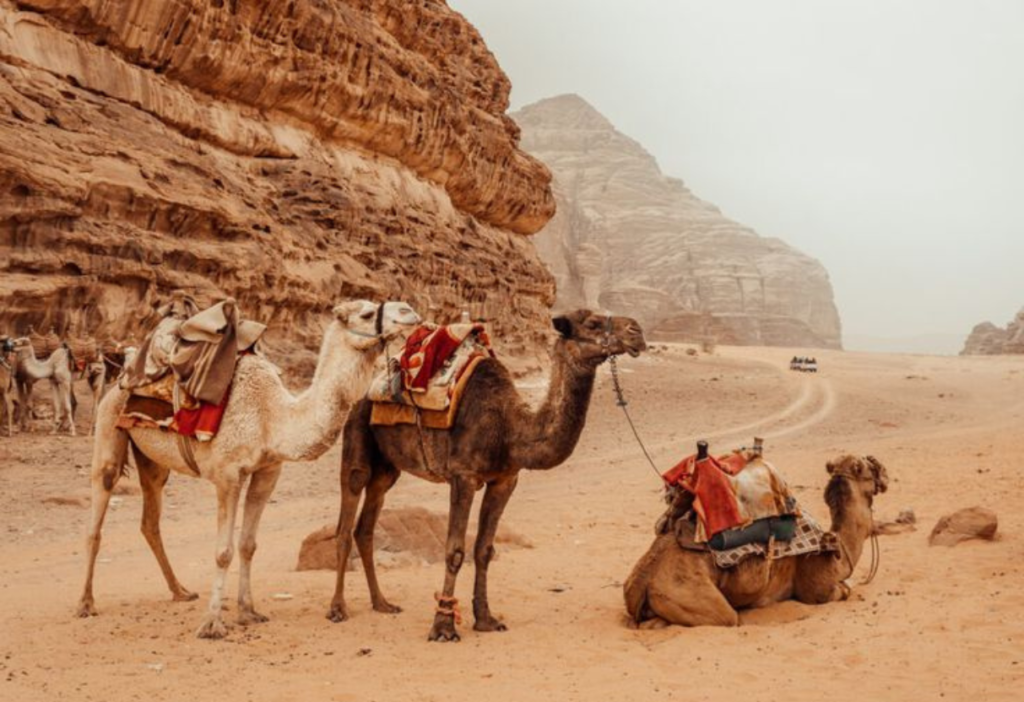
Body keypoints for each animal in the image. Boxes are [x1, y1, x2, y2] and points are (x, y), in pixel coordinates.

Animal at [74, 298, 419, 642]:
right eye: (367, 313)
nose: (410, 312)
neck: (272, 416)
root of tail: (122, 379)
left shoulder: (267, 471)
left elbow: (248, 545)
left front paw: (248, 612)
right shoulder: (227, 475)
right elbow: (223, 551)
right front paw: (212, 624)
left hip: (153, 460)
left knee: (150, 520)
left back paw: (180, 591)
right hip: (108, 424)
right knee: (97, 511)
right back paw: (86, 603)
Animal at [329, 311, 647, 642]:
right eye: (593, 323)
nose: (637, 331)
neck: (510, 427)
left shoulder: (504, 480)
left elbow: (484, 549)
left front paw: (486, 619)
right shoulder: (463, 476)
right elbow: (455, 551)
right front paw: (443, 626)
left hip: (388, 468)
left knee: (365, 527)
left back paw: (382, 603)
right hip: (356, 440)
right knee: (345, 521)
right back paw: (338, 608)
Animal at [622, 458, 888, 630]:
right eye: (869, 466)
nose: (884, 473)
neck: (838, 550)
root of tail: (641, 580)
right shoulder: (814, 590)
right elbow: (843, 590)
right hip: (694, 595)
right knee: (727, 618)